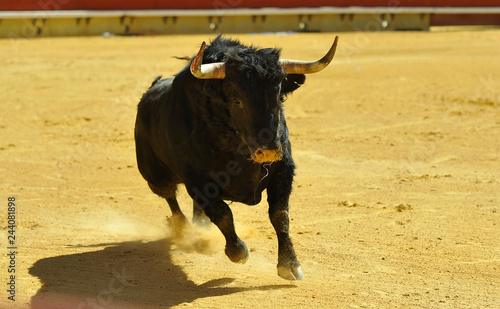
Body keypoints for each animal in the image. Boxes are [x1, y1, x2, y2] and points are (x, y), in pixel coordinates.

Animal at [134, 36, 336, 280]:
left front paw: (289, 264)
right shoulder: (197, 180)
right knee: (170, 197)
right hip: (154, 174)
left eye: (278, 97)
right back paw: (184, 229)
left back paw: (200, 227)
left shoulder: (283, 170)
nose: (269, 151)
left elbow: (280, 215)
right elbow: (223, 214)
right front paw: (238, 251)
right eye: (237, 100)